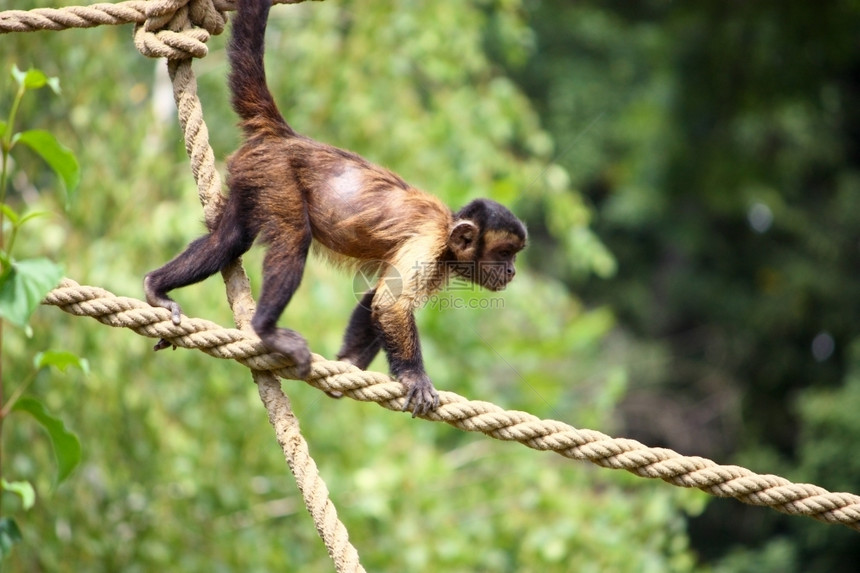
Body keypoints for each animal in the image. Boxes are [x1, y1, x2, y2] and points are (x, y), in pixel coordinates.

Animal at [144, 0, 528, 416]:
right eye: (504, 253)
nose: (511, 270)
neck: (447, 230)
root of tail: (288, 137)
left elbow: (374, 298)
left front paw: (350, 363)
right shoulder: (429, 241)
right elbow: (390, 305)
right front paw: (414, 377)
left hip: (254, 173)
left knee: (228, 239)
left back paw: (156, 286)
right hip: (278, 173)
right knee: (293, 237)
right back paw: (265, 329)